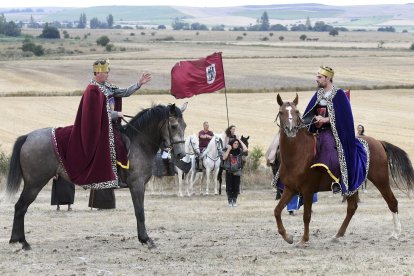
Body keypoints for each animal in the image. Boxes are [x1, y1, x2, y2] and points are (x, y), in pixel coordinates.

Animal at [6, 103, 188, 250]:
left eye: (184, 126)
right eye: (173, 126)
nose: (181, 154)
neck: (138, 143)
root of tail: (28, 137)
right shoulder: (137, 185)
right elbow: (140, 212)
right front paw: (146, 239)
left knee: (20, 207)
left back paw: (18, 240)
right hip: (34, 184)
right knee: (20, 207)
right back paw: (22, 242)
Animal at [274, 94, 414, 245]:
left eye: (296, 112)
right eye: (281, 112)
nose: (291, 130)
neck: (298, 154)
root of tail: (379, 142)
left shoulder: (308, 190)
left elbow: (306, 215)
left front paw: (304, 239)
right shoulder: (290, 188)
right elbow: (277, 211)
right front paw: (287, 237)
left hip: (380, 179)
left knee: (392, 202)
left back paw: (395, 233)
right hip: (353, 183)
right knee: (352, 208)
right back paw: (337, 235)